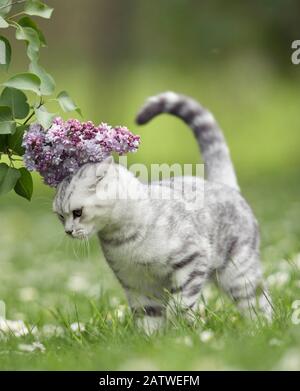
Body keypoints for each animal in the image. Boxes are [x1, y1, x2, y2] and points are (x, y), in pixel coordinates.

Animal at [52, 92, 274, 334]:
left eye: (78, 212)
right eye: (60, 216)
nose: (68, 231)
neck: (122, 240)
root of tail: (221, 183)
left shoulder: (192, 260)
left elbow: (180, 303)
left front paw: (184, 332)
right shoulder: (137, 284)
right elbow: (148, 318)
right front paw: (152, 339)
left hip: (238, 272)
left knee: (260, 301)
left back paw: (262, 329)